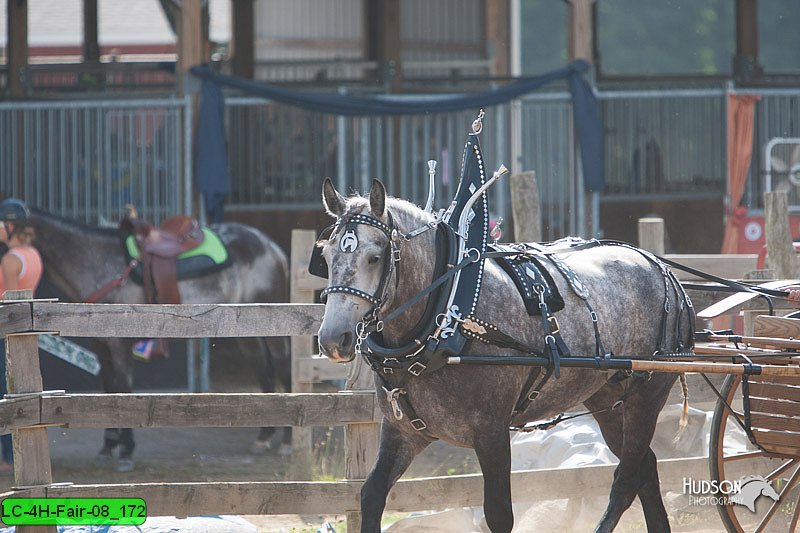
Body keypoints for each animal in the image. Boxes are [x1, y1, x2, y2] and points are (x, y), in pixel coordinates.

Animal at [29, 210, 290, 472]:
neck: (97, 261)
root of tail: (271, 246)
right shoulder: (100, 344)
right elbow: (109, 388)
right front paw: (107, 447)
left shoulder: (118, 342)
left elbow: (123, 390)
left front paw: (126, 451)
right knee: (262, 366)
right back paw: (264, 436)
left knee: (282, 364)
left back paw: (286, 439)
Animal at [316, 180, 692, 532]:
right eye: (327, 256)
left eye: (374, 257)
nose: (333, 339)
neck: (449, 315)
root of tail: (659, 267)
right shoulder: (403, 432)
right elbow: (371, 495)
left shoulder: (492, 433)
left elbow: (498, 515)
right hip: (608, 401)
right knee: (645, 467)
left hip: (647, 394)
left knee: (627, 479)